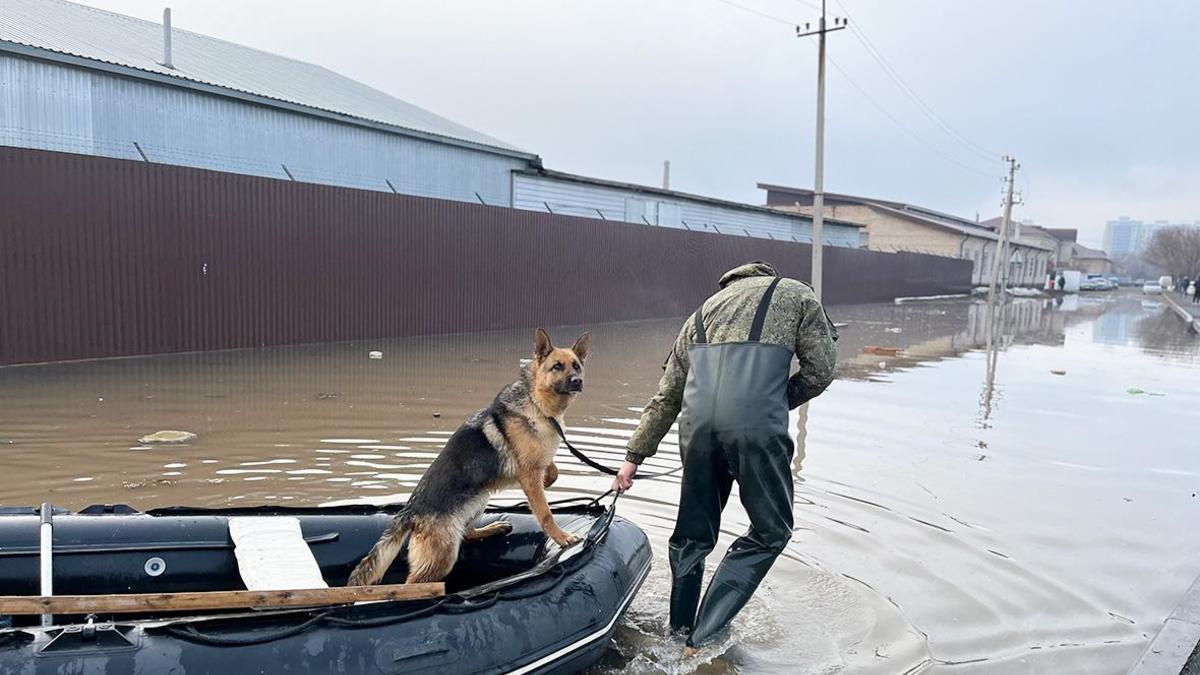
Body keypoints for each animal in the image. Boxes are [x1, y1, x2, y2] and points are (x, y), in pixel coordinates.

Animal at [348, 326, 590, 583]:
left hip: (479, 500)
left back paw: (494, 528)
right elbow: (545, 513)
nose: (577, 381)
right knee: (413, 581)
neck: (537, 402)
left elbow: (552, 470)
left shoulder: (535, 465)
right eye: (557, 367)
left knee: (467, 532)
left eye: (576, 365)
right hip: (442, 555)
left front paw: (548, 480)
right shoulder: (528, 472)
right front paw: (562, 537)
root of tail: (410, 512)